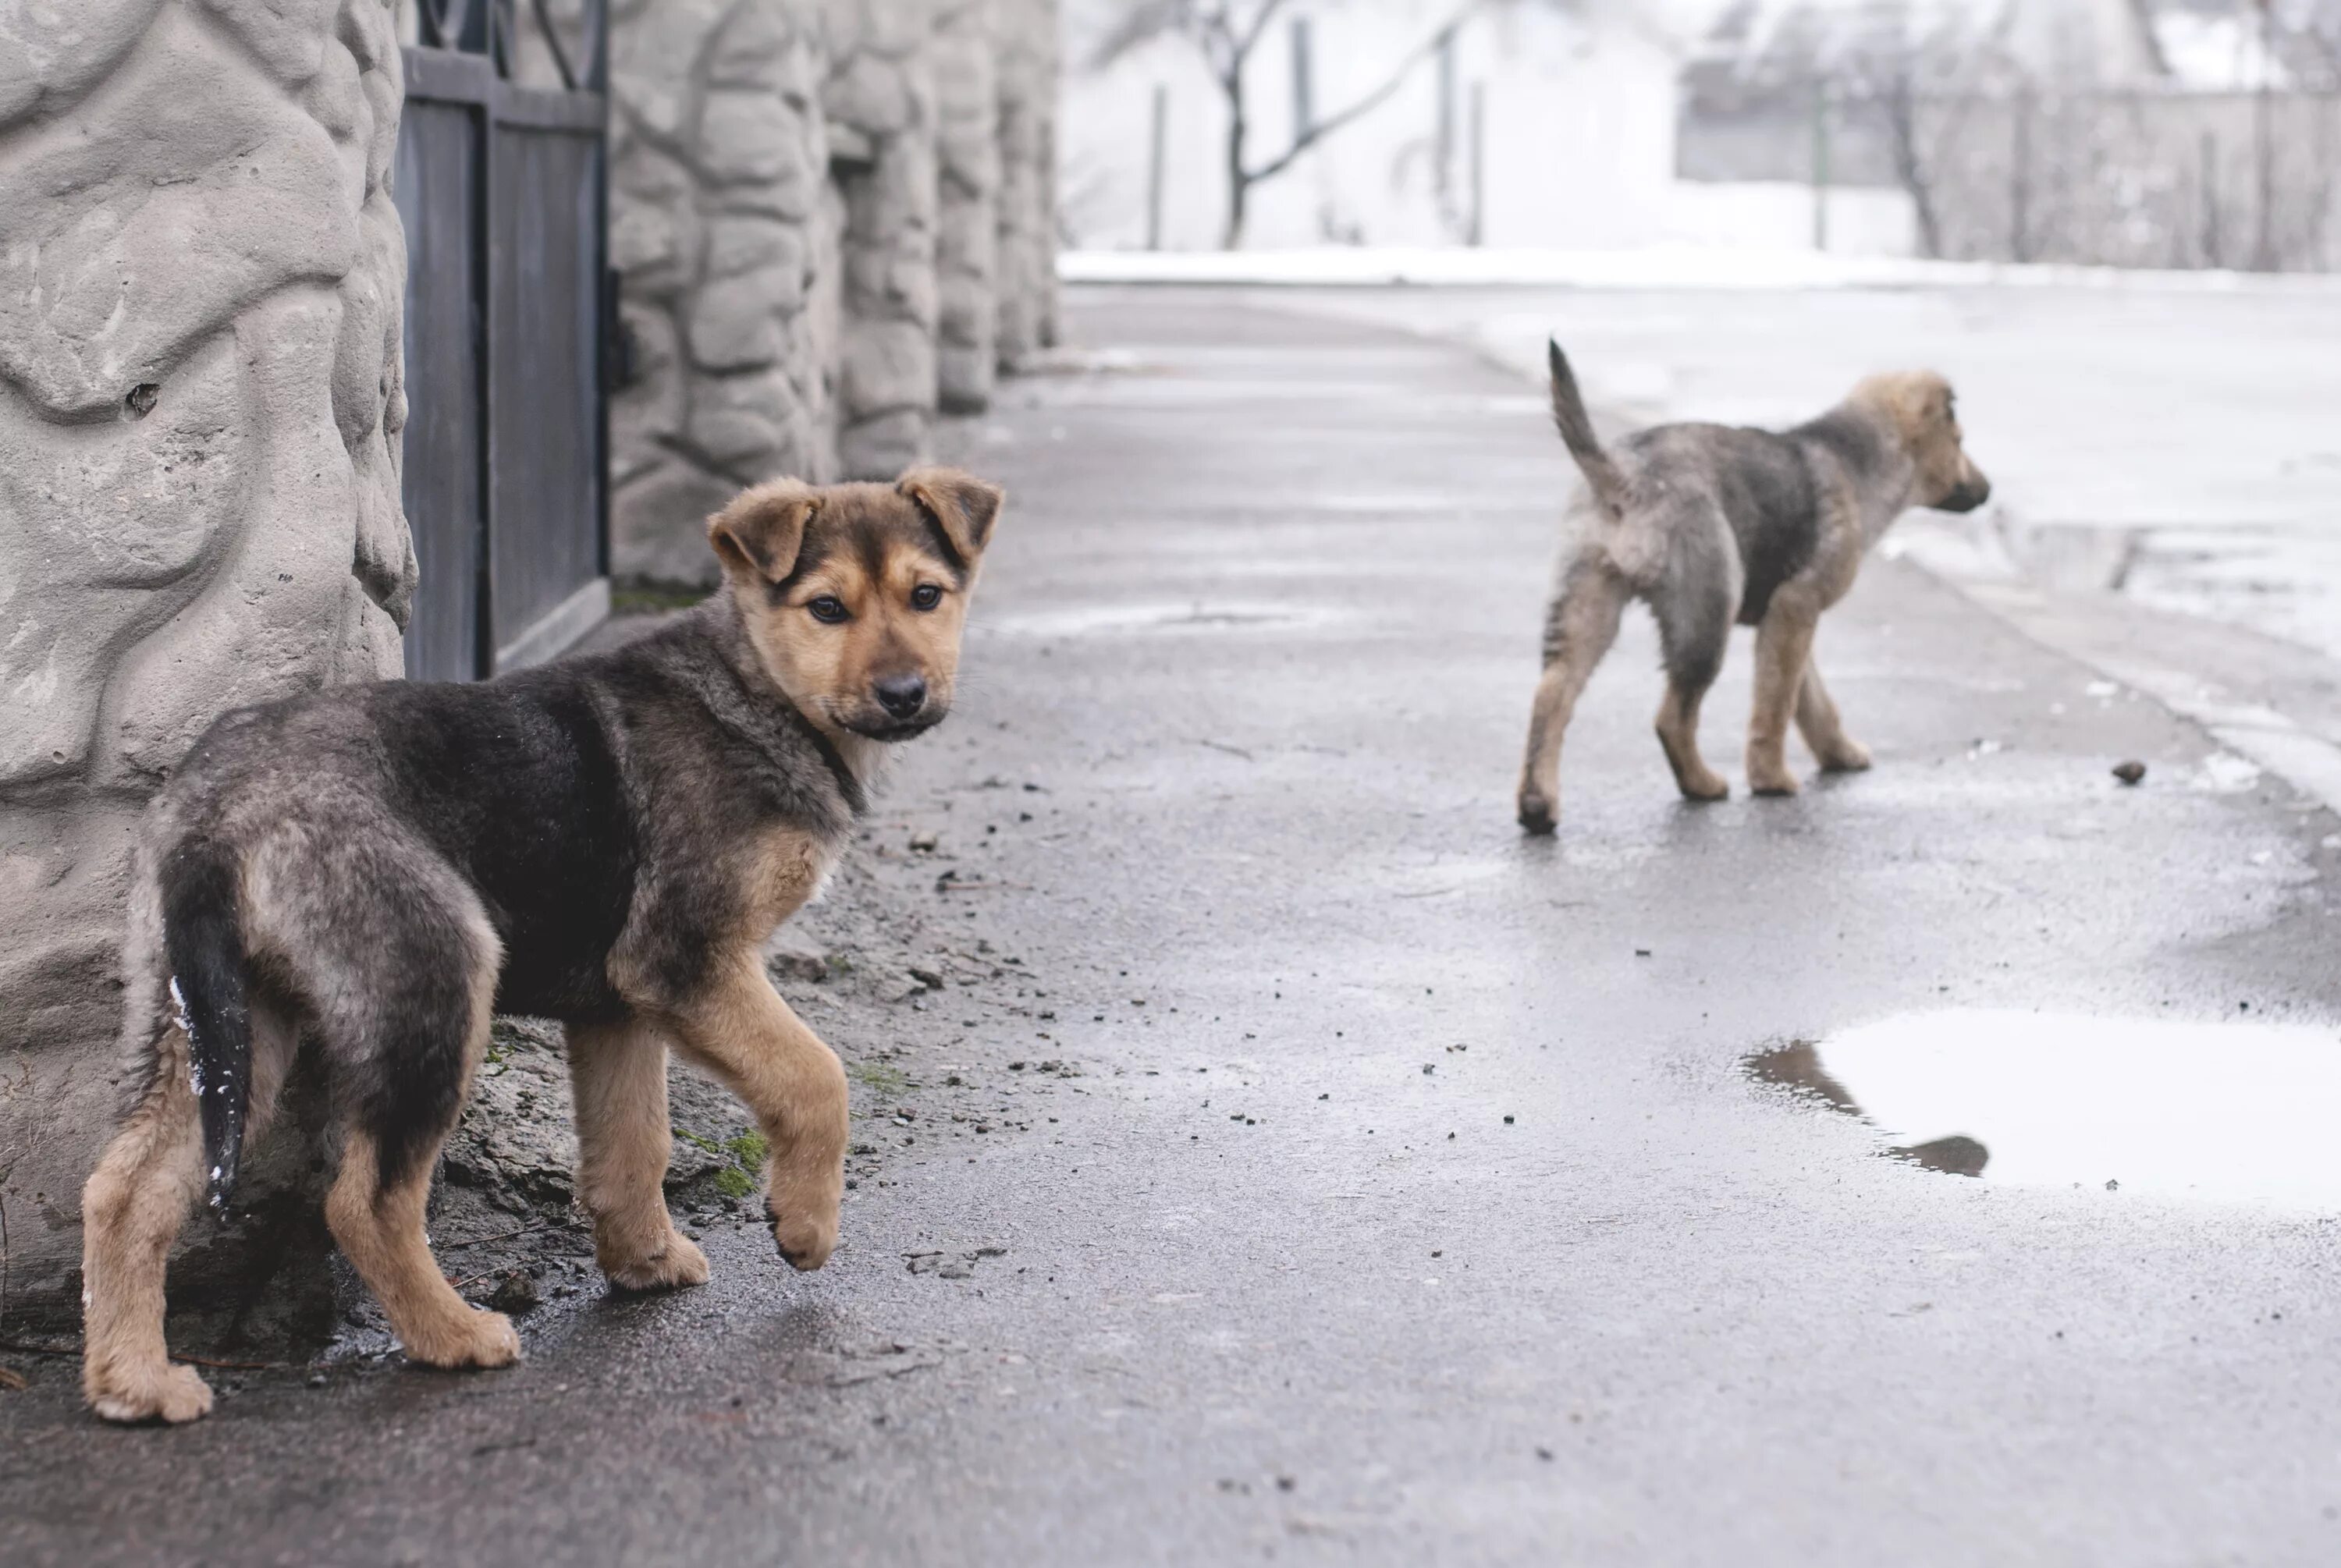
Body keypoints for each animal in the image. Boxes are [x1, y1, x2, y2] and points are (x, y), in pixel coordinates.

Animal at [75, 463, 997, 1423]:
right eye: (825, 608)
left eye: (926, 596)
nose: (905, 695)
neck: (753, 692)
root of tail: (219, 813)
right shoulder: (686, 959)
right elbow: (815, 1076)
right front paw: (804, 1226)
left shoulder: (618, 1008)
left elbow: (635, 1143)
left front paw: (644, 1261)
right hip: (433, 984)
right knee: (365, 1202)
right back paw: (453, 1336)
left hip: (216, 1021)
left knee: (124, 1190)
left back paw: (133, 1380)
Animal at [1517, 342, 1995, 833]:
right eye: (1960, 442)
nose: (1990, 490)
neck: (1858, 462)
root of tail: (1623, 477)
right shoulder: (1796, 607)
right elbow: (1776, 706)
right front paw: (1771, 780)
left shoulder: (1787, 620)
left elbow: (1812, 701)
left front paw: (1838, 753)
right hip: (1705, 612)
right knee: (1672, 717)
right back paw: (1702, 784)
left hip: (1587, 605)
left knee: (1552, 695)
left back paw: (1537, 803)